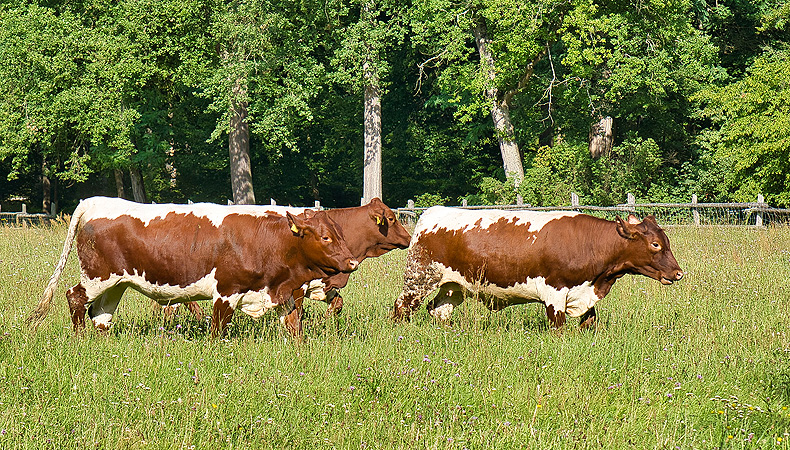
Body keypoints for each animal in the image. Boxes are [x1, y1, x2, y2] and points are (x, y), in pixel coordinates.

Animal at [24, 195, 358, 336]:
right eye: (326, 237)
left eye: (340, 234)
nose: (352, 261)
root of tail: (94, 201)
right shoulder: (226, 291)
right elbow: (217, 330)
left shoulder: (284, 293)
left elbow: (294, 328)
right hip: (97, 276)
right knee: (75, 297)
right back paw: (80, 339)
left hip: (116, 284)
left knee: (101, 315)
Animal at [392, 207, 684, 326]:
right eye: (655, 244)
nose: (678, 273)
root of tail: (433, 212)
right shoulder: (554, 293)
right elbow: (558, 326)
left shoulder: (585, 293)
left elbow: (590, 322)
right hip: (419, 278)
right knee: (401, 307)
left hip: (453, 287)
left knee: (439, 310)